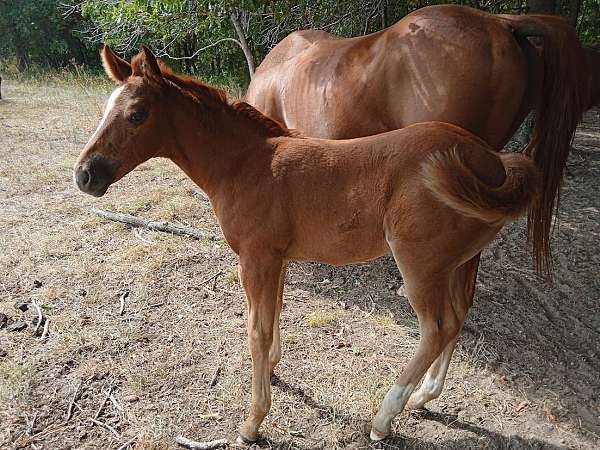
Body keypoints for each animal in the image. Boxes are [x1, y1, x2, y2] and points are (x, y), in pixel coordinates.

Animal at [74, 46, 540, 442]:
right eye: (106, 108)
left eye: (137, 114)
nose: (85, 174)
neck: (245, 165)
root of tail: (491, 160)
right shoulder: (277, 257)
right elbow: (275, 313)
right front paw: (272, 369)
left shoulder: (255, 258)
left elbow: (256, 328)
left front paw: (253, 420)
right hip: (460, 260)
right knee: (458, 317)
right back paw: (425, 397)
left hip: (420, 265)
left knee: (436, 328)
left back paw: (384, 418)